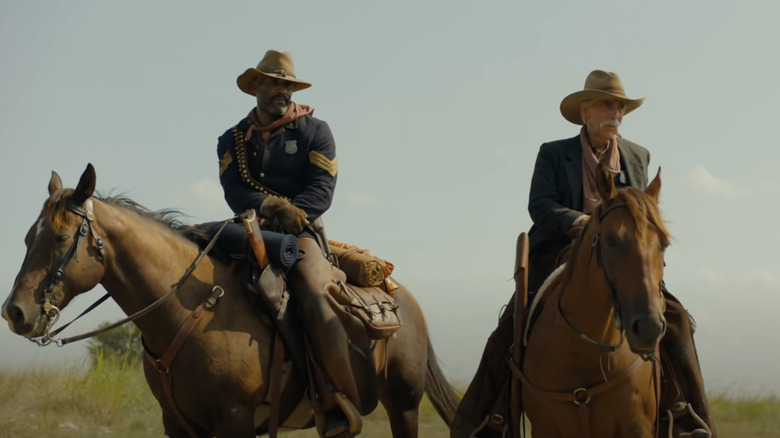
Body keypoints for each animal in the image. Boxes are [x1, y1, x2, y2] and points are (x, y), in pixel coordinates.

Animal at [1, 165, 458, 438]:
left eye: (60, 237)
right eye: (26, 238)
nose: (15, 312)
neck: (192, 310)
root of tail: (402, 296)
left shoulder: (234, 423)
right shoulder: (177, 425)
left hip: (404, 406)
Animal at [516, 165, 672, 438]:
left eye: (664, 244)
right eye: (610, 239)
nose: (648, 328)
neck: (588, 356)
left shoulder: (638, 427)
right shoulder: (544, 428)